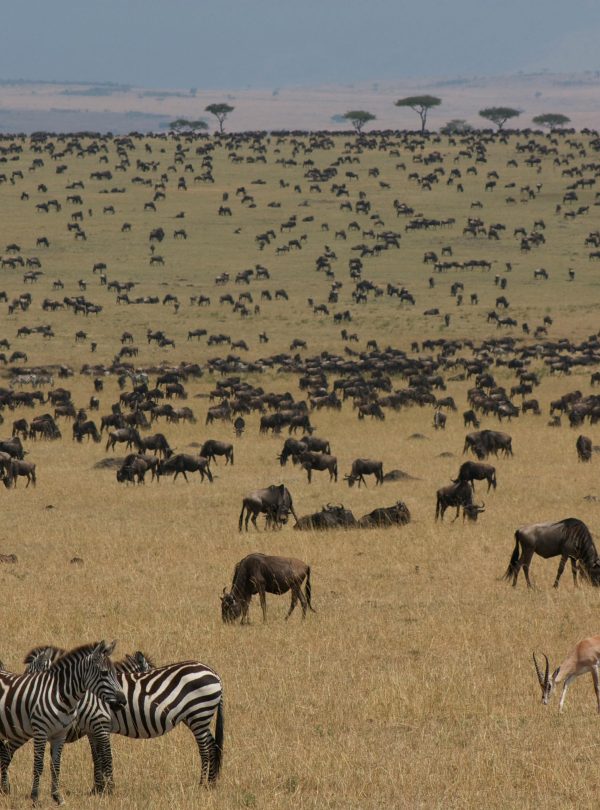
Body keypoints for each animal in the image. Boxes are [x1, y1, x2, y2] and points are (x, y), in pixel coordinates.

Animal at [0, 641, 125, 805]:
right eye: (104, 673)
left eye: (114, 673)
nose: (123, 701)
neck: (60, 695)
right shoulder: (41, 731)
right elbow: (38, 765)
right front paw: (35, 798)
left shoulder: (60, 734)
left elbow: (56, 766)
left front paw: (57, 797)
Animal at [24, 646, 224, 793]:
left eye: (30, 673)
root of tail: (214, 673)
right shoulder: (91, 728)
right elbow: (96, 757)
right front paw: (97, 790)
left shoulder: (100, 723)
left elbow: (106, 756)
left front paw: (108, 790)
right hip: (196, 717)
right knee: (213, 745)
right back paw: (211, 784)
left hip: (199, 713)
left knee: (205, 748)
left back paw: (202, 785)